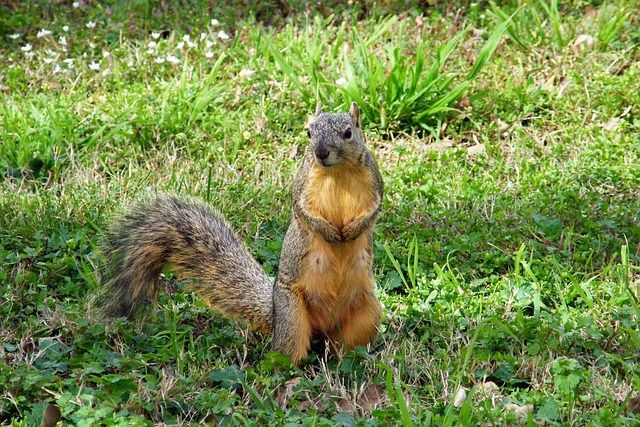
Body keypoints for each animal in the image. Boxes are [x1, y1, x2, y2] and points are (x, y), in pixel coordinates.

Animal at [97, 102, 384, 363]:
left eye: (348, 133)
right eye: (309, 132)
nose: (321, 152)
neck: (337, 172)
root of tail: (275, 314)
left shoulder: (375, 182)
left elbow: (374, 210)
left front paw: (354, 229)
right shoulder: (302, 184)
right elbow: (302, 211)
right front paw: (329, 232)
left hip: (368, 314)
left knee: (344, 347)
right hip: (292, 316)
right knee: (287, 353)